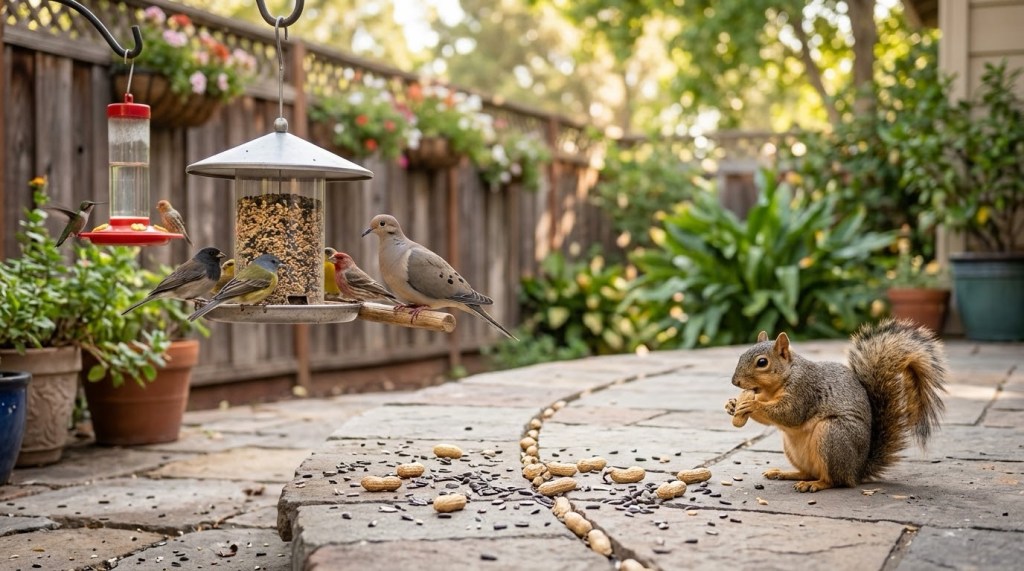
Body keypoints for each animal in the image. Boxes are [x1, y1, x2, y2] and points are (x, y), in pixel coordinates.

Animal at [726, 318, 947, 492]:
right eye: (741, 355)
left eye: (762, 362)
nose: (735, 382)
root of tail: (857, 471)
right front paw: (732, 404)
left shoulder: (804, 390)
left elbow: (790, 414)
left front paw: (751, 404)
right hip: (794, 448)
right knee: (807, 472)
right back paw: (785, 473)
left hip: (832, 435)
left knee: (835, 480)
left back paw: (816, 484)